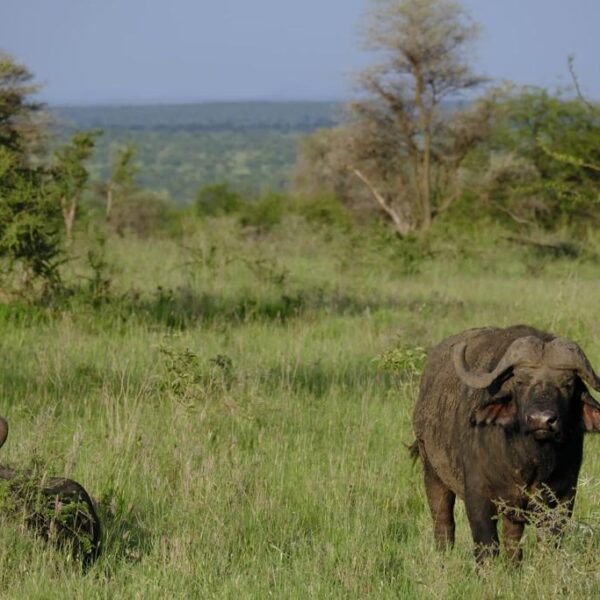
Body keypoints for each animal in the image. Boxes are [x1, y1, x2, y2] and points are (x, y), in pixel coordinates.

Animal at [410, 326, 600, 560]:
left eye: (567, 384)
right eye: (520, 382)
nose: (541, 420)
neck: (530, 462)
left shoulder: (563, 500)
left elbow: (547, 545)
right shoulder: (478, 497)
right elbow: (487, 546)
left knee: (512, 543)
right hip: (433, 473)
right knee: (443, 523)